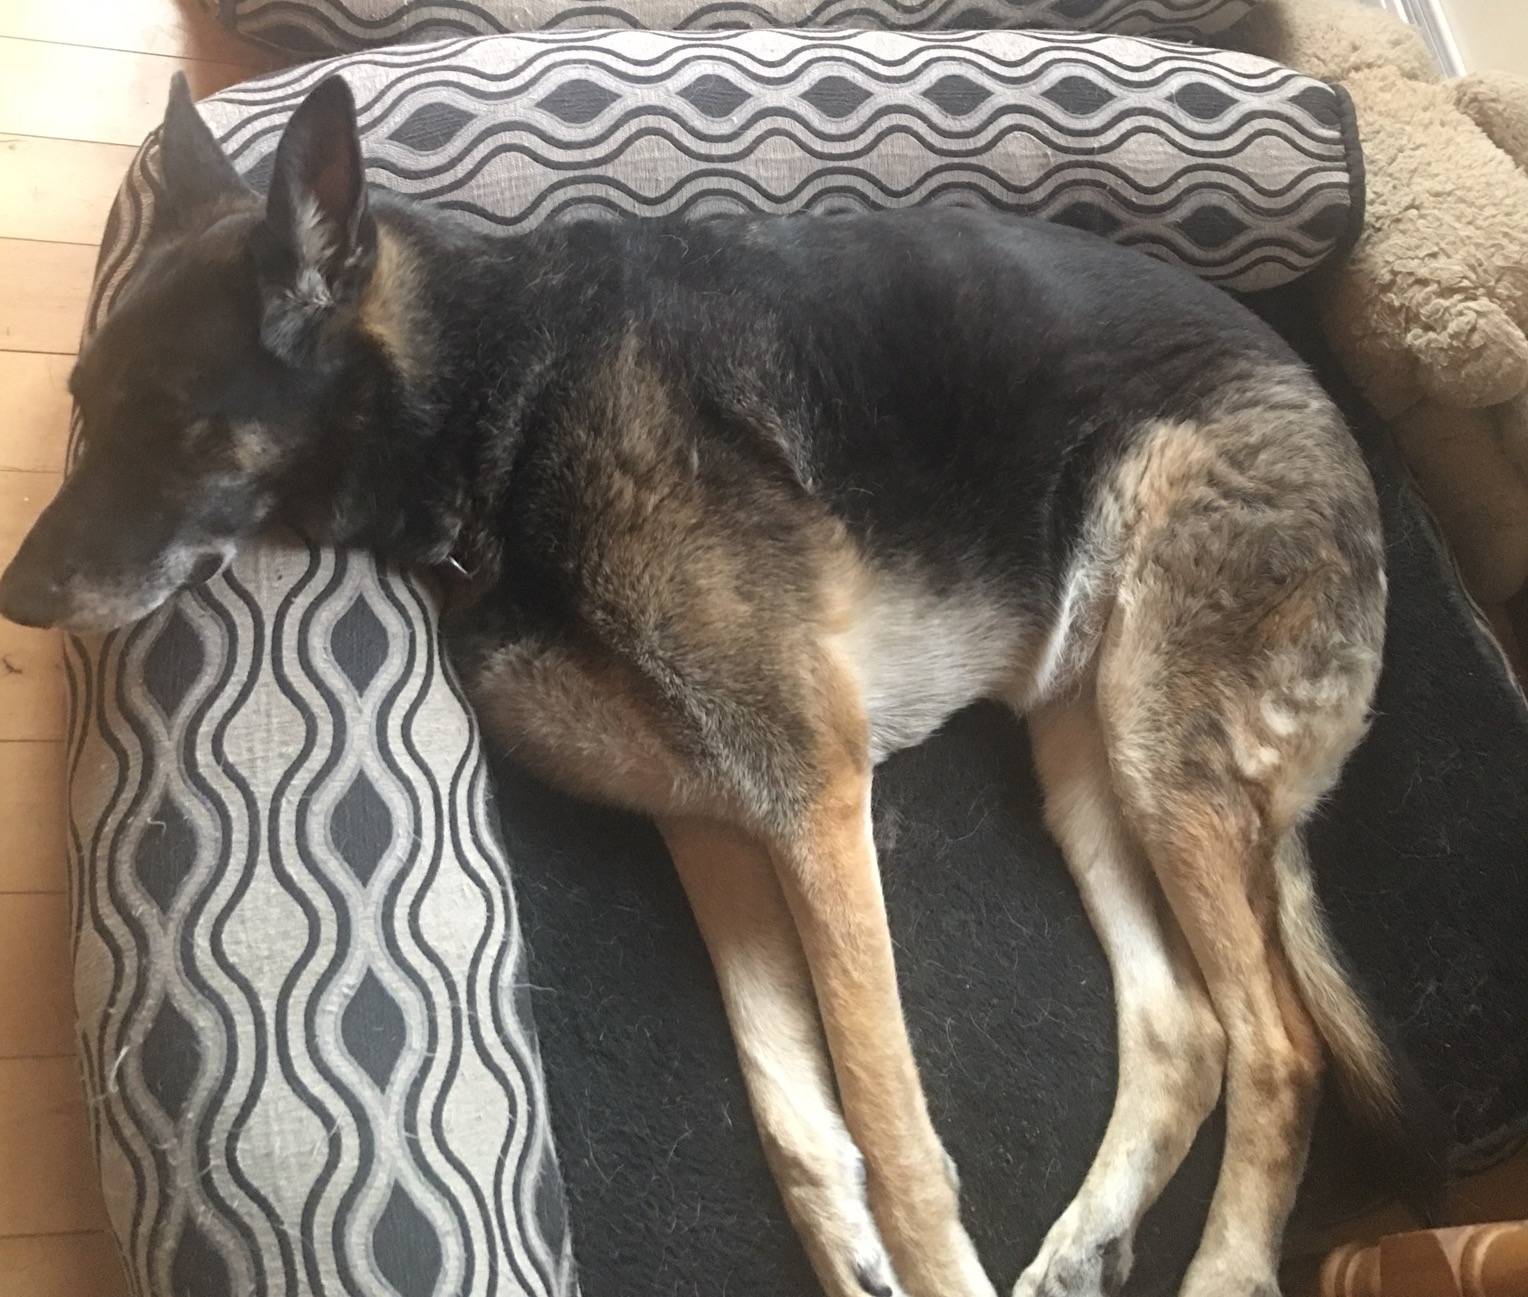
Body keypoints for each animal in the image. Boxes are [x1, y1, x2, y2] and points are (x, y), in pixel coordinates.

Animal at [0, 74, 1437, 1297]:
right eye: (85, 408)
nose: (16, 602)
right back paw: (1091, 1235)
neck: (498, 395)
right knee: (1187, 1028)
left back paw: (1227, 1264)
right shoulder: (713, 820)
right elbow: (800, 1119)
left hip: (1155, 743)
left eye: (174, 423)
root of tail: (1322, 405)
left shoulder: (809, 799)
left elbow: (893, 1129)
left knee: (1279, 1046)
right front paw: (853, 1257)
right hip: (1084, 759)